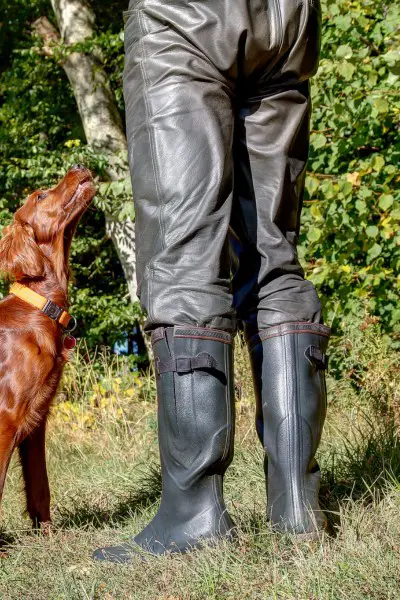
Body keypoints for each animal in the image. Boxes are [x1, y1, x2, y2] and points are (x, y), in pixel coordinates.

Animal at [0, 166, 95, 528]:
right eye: (40, 196)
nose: (78, 167)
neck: (39, 307)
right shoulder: (6, 417)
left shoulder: (35, 420)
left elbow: (40, 486)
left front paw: (48, 534)